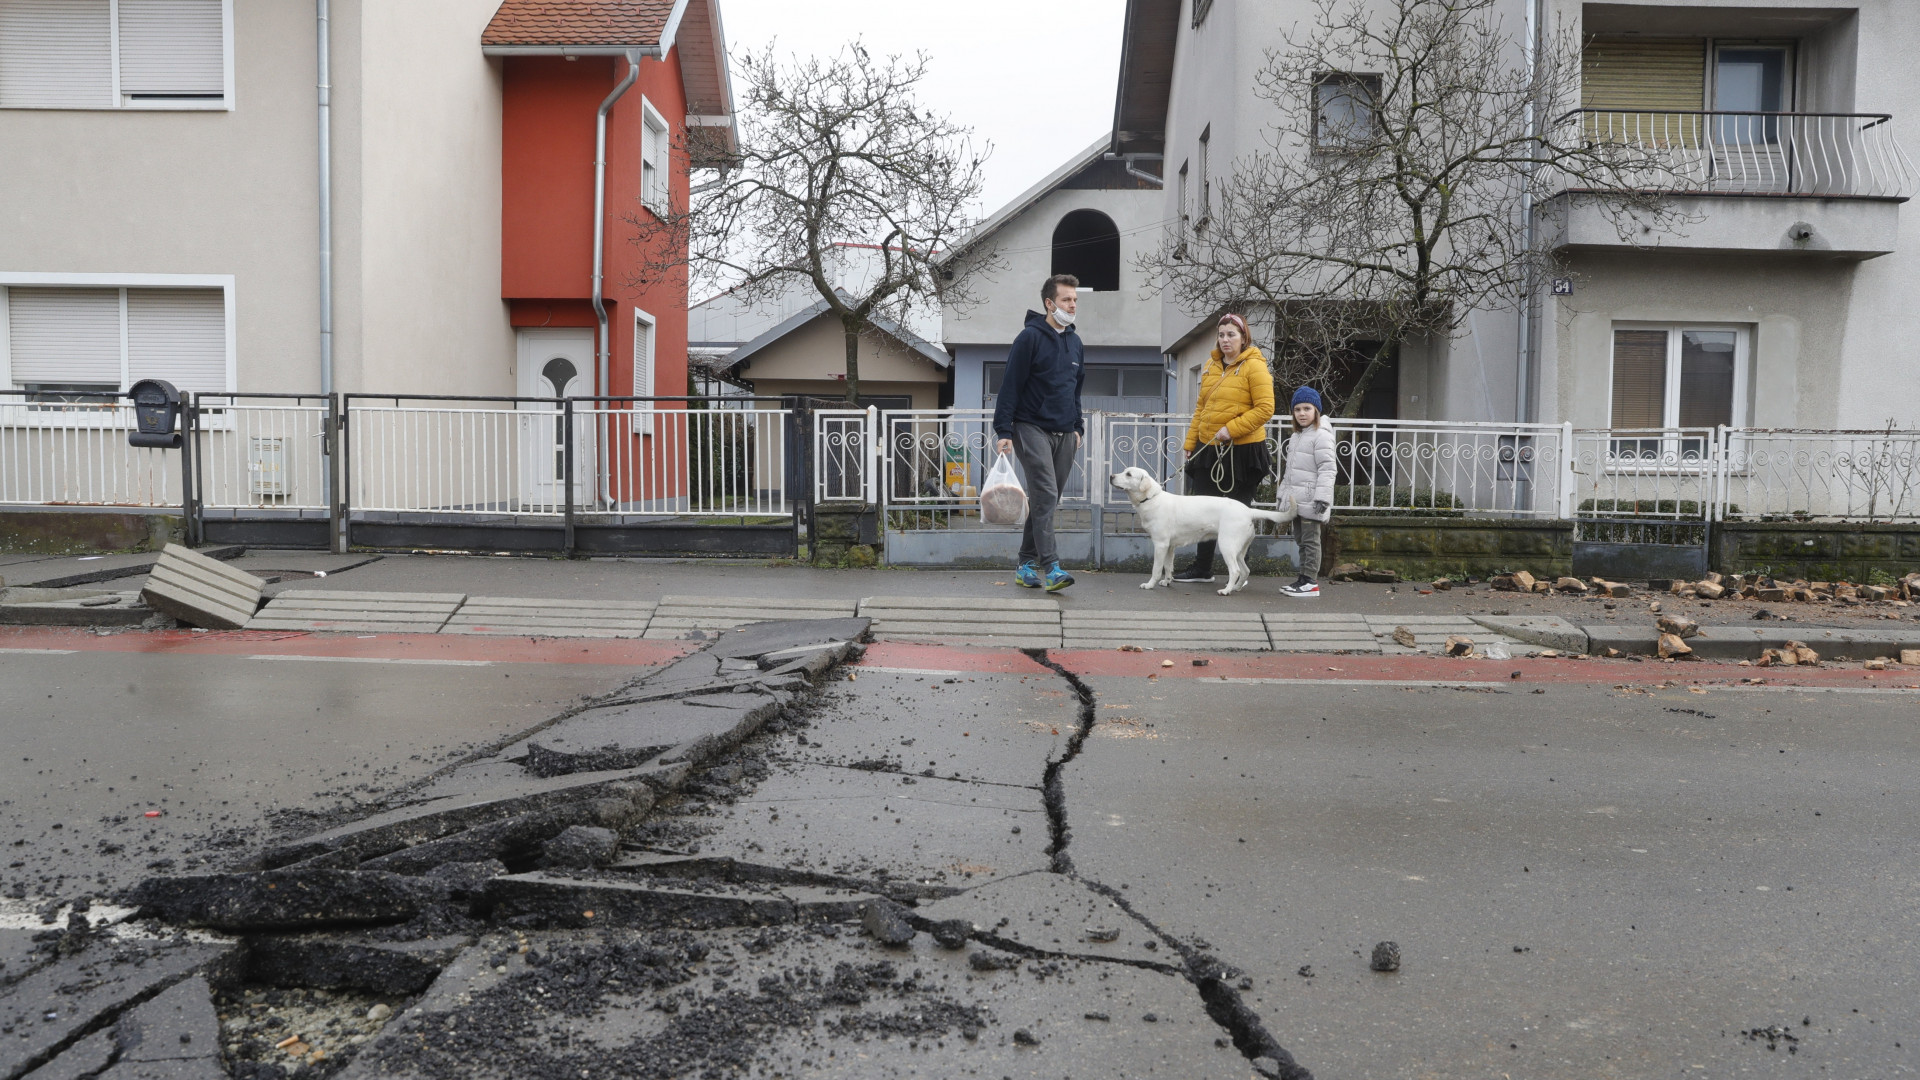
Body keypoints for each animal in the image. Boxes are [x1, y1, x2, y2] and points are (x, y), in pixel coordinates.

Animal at [1121, 465, 1297, 591]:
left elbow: (1157, 568)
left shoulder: (1160, 544)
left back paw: (1226, 591)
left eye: (1128, 474)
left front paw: (1149, 585)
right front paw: (1167, 581)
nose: (1114, 476)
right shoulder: (1169, 546)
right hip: (1239, 550)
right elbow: (1168, 566)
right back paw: (1236, 588)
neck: (1151, 499)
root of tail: (1248, 510)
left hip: (1227, 545)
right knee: (1245, 570)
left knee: (1235, 571)